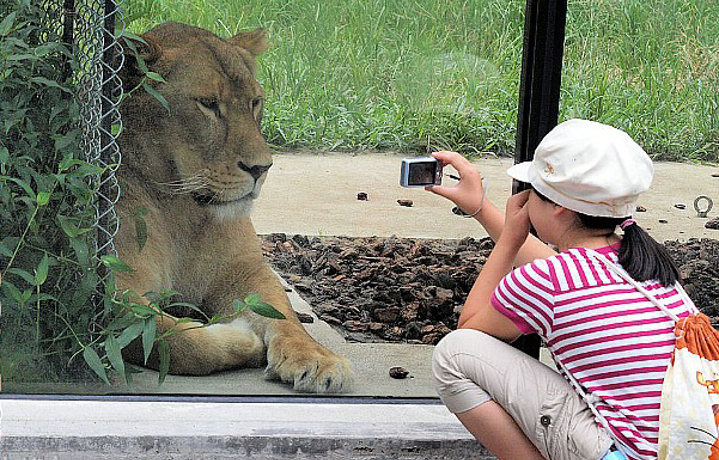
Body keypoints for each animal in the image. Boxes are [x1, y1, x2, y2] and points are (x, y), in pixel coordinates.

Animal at [114, 22, 356, 392]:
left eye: (255, 102)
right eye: (208, 104)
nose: (261, 168)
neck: (181, 212)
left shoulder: (244, 270)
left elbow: (284, 314)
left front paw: (317, 358)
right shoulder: (107, 284)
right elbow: (169, 338)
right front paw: (242, 338)